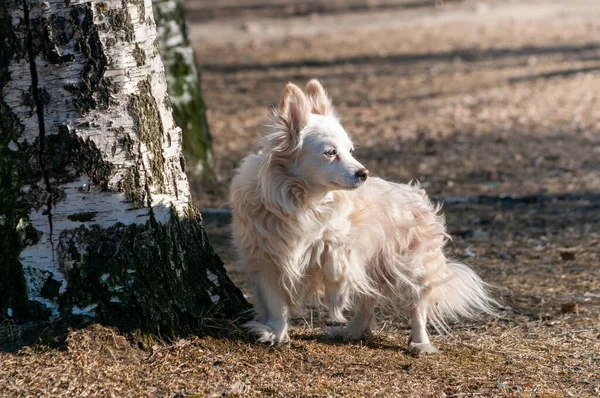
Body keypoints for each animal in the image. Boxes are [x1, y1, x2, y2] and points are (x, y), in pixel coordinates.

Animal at [227, 80, 494, 354]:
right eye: (330, 152)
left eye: (351, 150)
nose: (363, 173)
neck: (303, 200)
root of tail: (417, 195)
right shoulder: (266, 260)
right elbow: (275, 301)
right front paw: (275, 332)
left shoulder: (344, 244)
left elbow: (333, 260)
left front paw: (335, 294)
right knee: (368, 299)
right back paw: (353, 331)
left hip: (414, 266)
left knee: (417, 306)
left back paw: (420, 343)